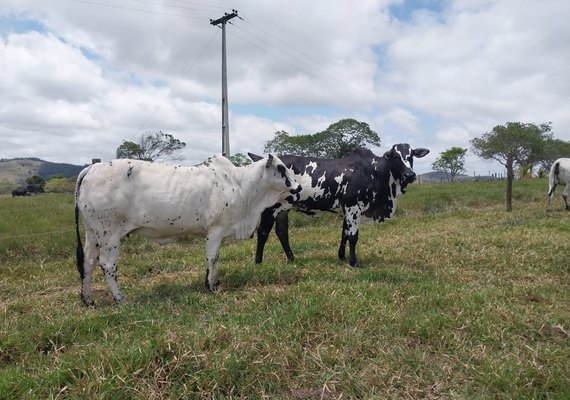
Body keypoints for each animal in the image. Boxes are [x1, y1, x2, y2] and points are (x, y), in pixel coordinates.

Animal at [74, 154, 302, 306]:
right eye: (281, 168)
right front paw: (210, 286)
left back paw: (88, 300)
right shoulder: (215, 230)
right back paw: (120, 298)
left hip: (92, 234)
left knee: (88, 262)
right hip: (109, 234)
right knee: (107, 264)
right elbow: (212, 258)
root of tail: (92, 168)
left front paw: (214, 282)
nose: (299, 187)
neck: (240, 185)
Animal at [252, 145, 426, 268]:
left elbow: (344, 234)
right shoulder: (353, 207)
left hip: (283, 208)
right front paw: (353, 262)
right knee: (263, 232)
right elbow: (353, 236)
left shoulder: (347, 211)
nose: (410, 175)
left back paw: (292, 258)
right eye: (396, 156)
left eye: (411, 155)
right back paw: (258, 262)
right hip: (271, 207)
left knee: (282, 232)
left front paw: (342, 257)